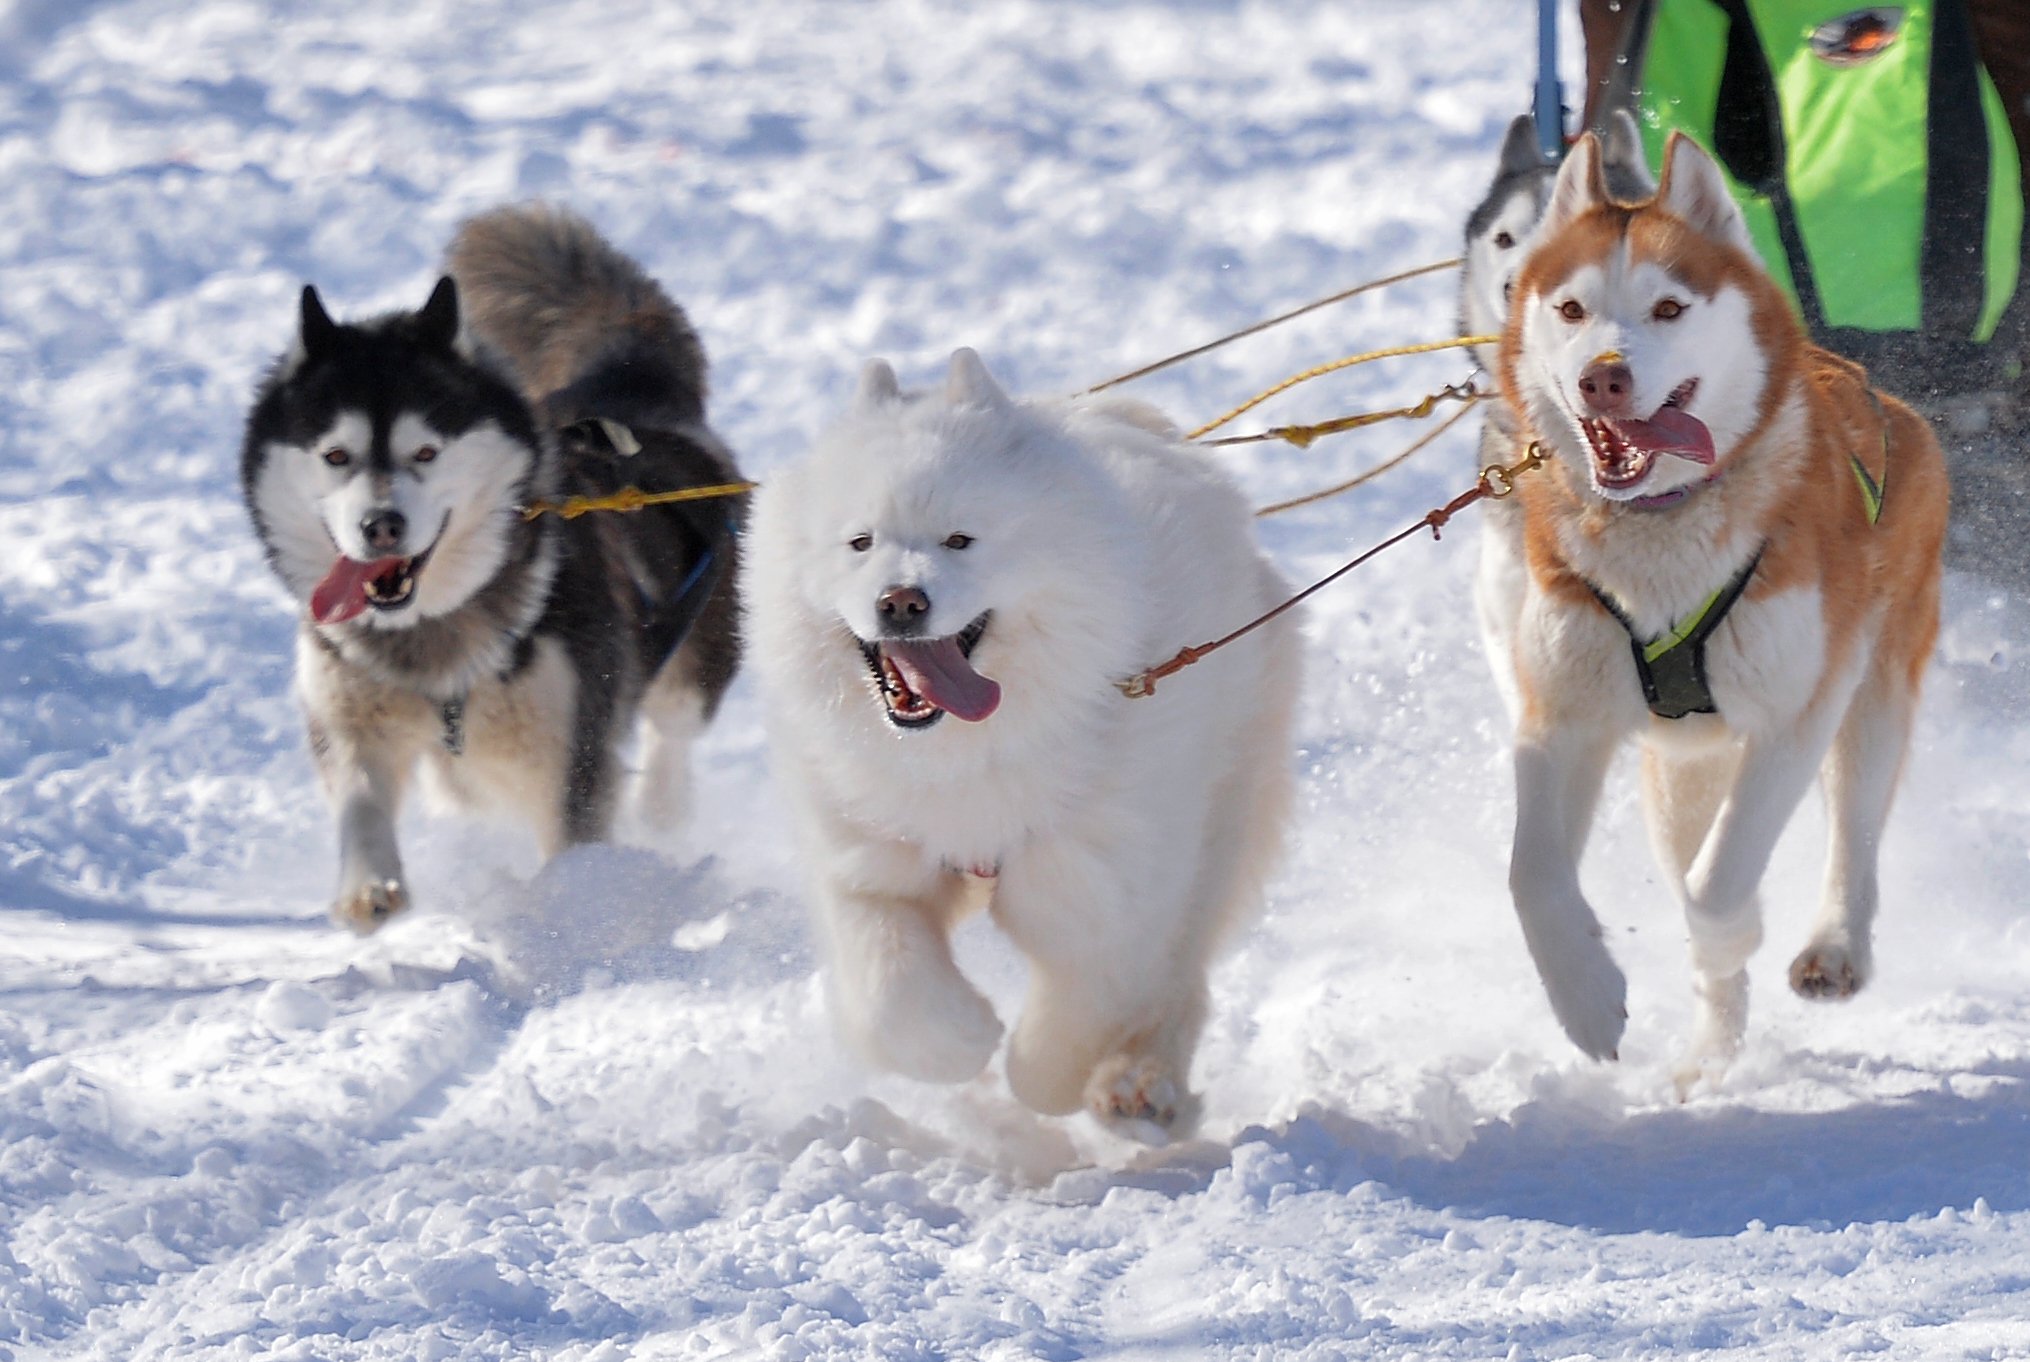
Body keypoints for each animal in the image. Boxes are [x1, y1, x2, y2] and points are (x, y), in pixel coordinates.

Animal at [747, 351, 1299, 1136]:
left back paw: (1139, 1086)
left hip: (1219, 821)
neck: (965, 759)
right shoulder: (866, 864)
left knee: (1179, 977)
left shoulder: (1101, 889)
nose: (900, 602)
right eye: (860, 543)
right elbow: (889, 996)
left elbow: (1075, 1017)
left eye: (959, 540)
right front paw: (963, 1038)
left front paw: (1040, 1078)